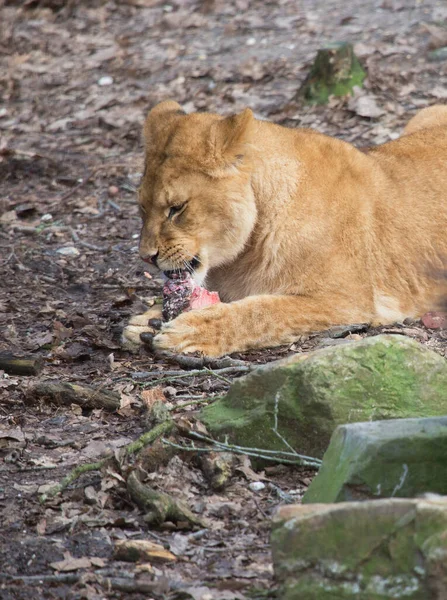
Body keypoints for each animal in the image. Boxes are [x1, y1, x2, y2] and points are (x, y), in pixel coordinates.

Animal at [124, 102, 447, 356]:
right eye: (142, 207)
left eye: (177, 208)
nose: (146, 257)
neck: (245, 251)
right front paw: (146, 320)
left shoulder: (346, 299)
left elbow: (261, 311)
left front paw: (192, 330)